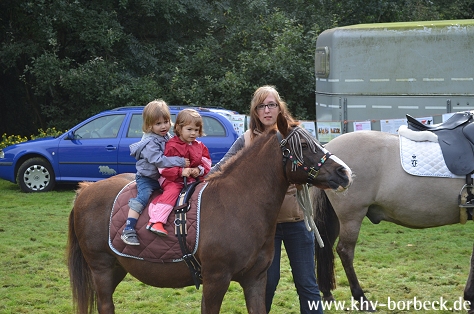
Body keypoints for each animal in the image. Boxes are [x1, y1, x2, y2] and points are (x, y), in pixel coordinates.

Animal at [68, 126, 354, 312]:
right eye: (304, 146)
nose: (344, 172)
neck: (237, 204)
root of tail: (86, 190)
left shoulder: (255, 280)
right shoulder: (216, 280)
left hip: (117, 268)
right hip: (102, 269)